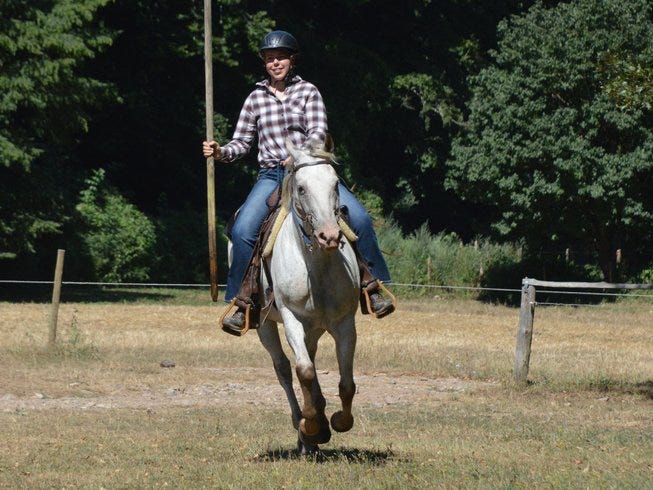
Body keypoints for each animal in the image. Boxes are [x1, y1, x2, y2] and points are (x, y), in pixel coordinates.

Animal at [258, 140, 362, 454]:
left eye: (335, 183)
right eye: (301, 188)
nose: (329, 236)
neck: (316, 268)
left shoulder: (345, 323)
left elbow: (346, 382)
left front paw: (338, 421)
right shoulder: (291, 318)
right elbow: (302, 371)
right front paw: (311, 424)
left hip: (313, 329)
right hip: (265, 325)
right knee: (283, 368)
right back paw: (303, 425)